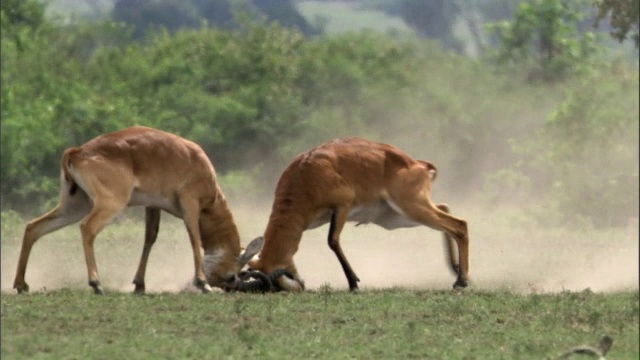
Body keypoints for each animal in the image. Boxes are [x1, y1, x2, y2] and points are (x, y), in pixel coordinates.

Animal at [14, 125, 264, 294]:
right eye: (232, 276)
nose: (227, 286)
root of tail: (76, 151)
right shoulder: (190, 204)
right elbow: (194, 238)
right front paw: (202, 283)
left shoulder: (152, 206)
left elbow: (150, 238)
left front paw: (140, 284)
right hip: (109, 205)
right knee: (87, 228)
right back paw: (96, 283)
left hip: (74, 206)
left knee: (33, 227)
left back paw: (21, 284)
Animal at [249, 136, 470, 292]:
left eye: (278, 278)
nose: (300, 286)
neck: (306, 174)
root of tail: (420, 165)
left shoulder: (342, 207)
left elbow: (332, 241)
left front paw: (354, 283)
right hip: (396, 217)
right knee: (445, 209)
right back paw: (455, 269)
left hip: (411, 208)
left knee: (459, 225)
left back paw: (461, 280)